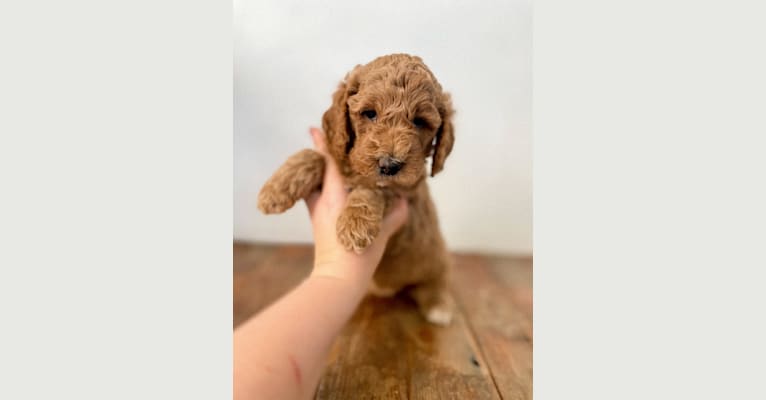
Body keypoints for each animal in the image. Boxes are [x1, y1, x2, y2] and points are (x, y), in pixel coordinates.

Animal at [260, 54, 460, 324]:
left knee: (437, 281)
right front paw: (274, 190)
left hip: (438, 261)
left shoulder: (404, 194)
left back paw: (440, 306)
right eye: (370, 114)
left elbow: (372, 190)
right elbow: (314, 156)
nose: (389, 165)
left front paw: (355, 225)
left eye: (420, 122)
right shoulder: (335, 152)